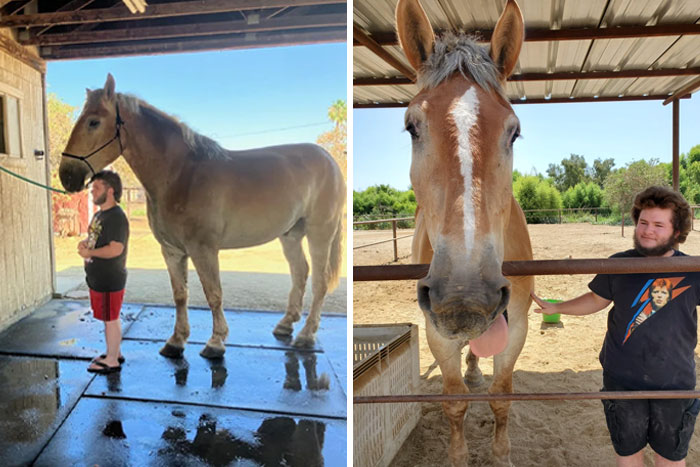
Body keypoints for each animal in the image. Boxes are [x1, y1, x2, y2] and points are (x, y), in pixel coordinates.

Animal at [58, 75, 345, 358]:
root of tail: (330, 161)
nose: (66, 175)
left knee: (319, 281)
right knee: (300, 272)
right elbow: (180, 294)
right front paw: (176, 341)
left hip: (320, 233)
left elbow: (213, 293)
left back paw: (306, 335)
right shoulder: (172, 251)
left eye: (94, 122)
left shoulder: (204, 249)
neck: (181, 174)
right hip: (290, 235)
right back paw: (285, 325)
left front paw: (216, 342)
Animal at [396, 0, 533, 465]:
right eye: (411, 126)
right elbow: (454, 401)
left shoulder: (518, 324)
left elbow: (502, 396)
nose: (465, 297)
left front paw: (502, 454)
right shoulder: (437, 330)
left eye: (514, 131)